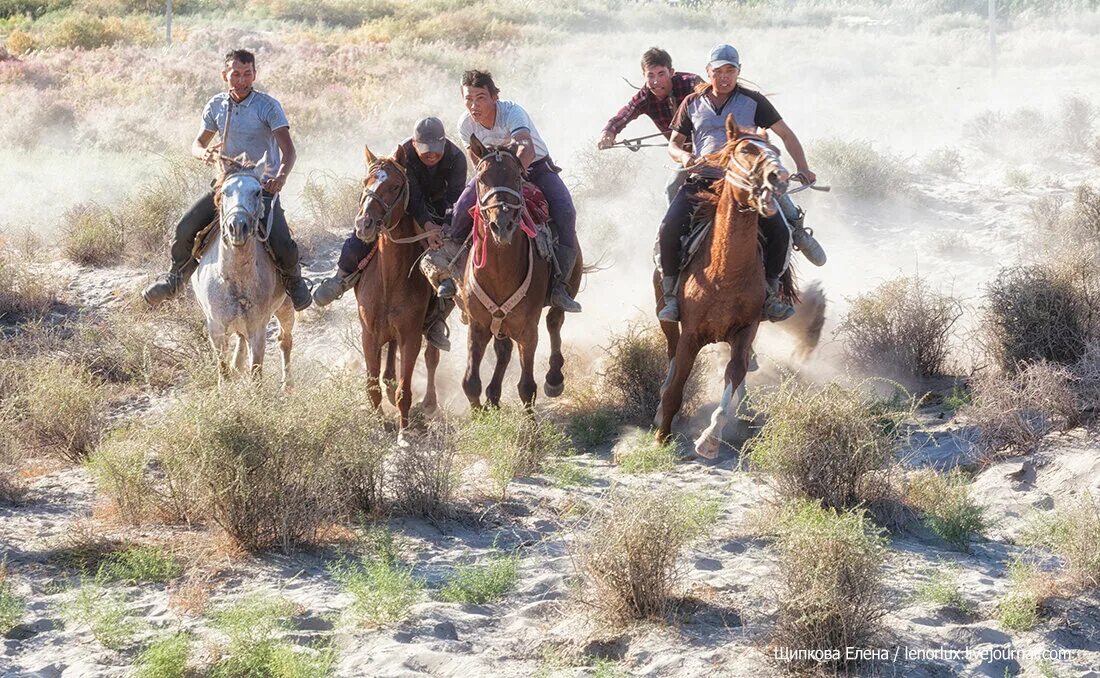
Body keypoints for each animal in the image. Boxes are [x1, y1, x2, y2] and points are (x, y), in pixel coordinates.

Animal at [352, 144, 437, 433]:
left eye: (396, 186)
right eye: (365, 182)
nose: (364, 224)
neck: (389, 281)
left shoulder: (411, 336)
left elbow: (404, 392)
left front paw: (404, 432)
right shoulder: (368, 335)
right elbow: (372, 387)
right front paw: (379, 424)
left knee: (432, 358)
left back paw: (430, 401)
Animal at [457, 134, 580, 405]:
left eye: (515, 177)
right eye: (481, 179)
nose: (501, 224)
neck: (499, 272)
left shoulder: (527, 330)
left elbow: (527, 387)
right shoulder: (477, 326)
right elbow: (470, 382)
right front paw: (481, 412)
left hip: (569, 286)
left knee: (555, 321)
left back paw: (554, 377)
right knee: (503, 351)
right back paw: (493, 396)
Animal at [651, 116, 800, 457]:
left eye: (775, 150)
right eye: (745, 150)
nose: (778, 177)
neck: (724, 273)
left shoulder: (745, 330)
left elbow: (734, 372)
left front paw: (710, 437)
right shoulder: (691, 334)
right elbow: (678, 381)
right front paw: (662, 435)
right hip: (666, 317)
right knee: (670, 355)